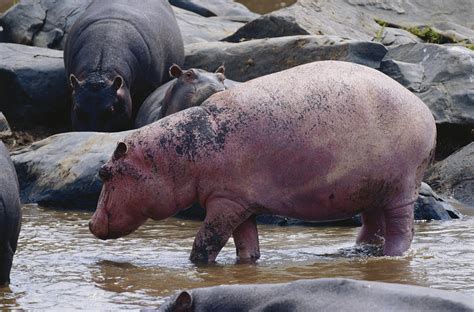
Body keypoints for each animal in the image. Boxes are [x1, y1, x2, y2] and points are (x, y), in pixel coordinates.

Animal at [89, 61, 436, 264]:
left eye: (104, 173)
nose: (90, 225)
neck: (172, 155)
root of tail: (423, 108)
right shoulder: (240, 202)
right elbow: (246, 245)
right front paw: (247, 264)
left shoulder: (224, 203)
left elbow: (206, 242)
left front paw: (197, 265)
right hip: (370, 190)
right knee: (372, 225)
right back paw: (357, 252)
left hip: (402, 188)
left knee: (402, 229)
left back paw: (392, 256)